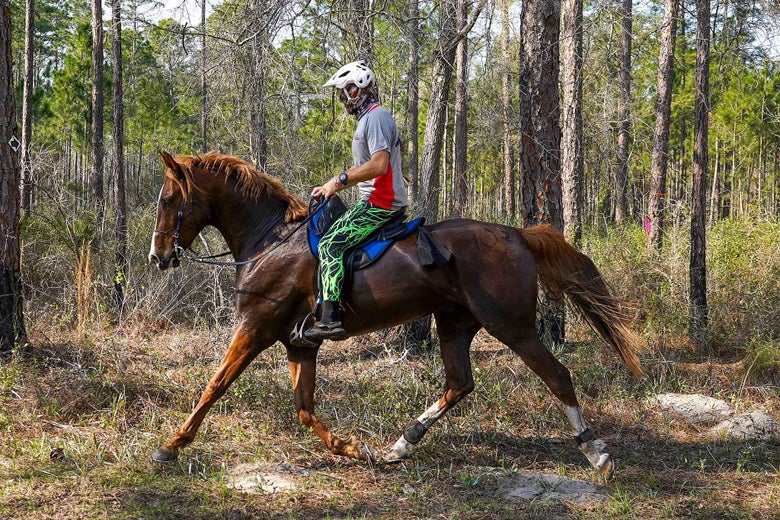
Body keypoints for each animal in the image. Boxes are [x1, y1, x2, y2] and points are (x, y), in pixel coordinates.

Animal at [148, 151, 644, 479]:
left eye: (169, 200)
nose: (158, 257)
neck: (271, 241)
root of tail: (518, 234)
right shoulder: (298, 343)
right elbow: (305, 409)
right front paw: (352, 448)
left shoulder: (255, 328)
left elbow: (214, 386)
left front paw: (171, 445)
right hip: (454, 324)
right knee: (459, 383)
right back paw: (400, 445)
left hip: (512, 326)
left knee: (557, 375)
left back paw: (596, 455)